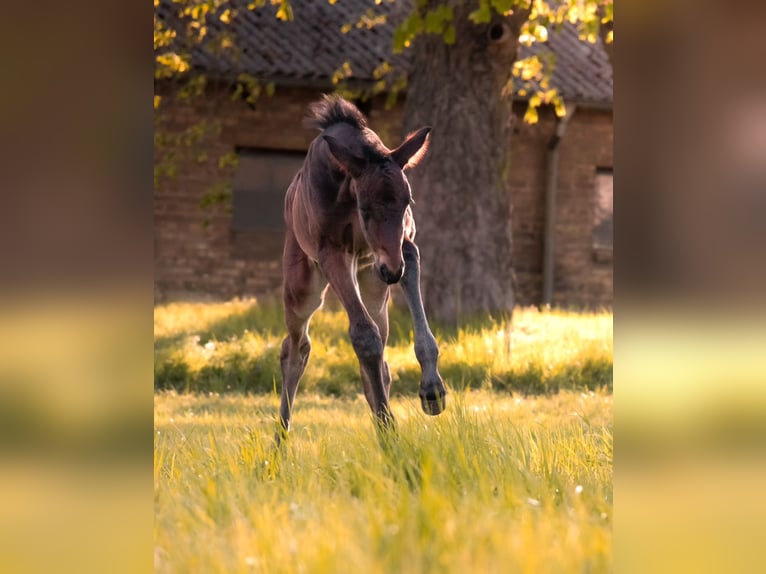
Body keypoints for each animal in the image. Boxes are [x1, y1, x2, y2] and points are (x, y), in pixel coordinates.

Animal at [276, 94, 447, 442]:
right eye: (365, 208)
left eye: (408, 202)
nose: (392, 271)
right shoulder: (331, 252)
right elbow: (364, 337)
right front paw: (390, 428)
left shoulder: (406, 246)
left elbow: (408, 336)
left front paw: (432, 391)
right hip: (303, 287)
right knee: (296, 347)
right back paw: (279, 443)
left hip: (373, 285)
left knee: (379, 353)